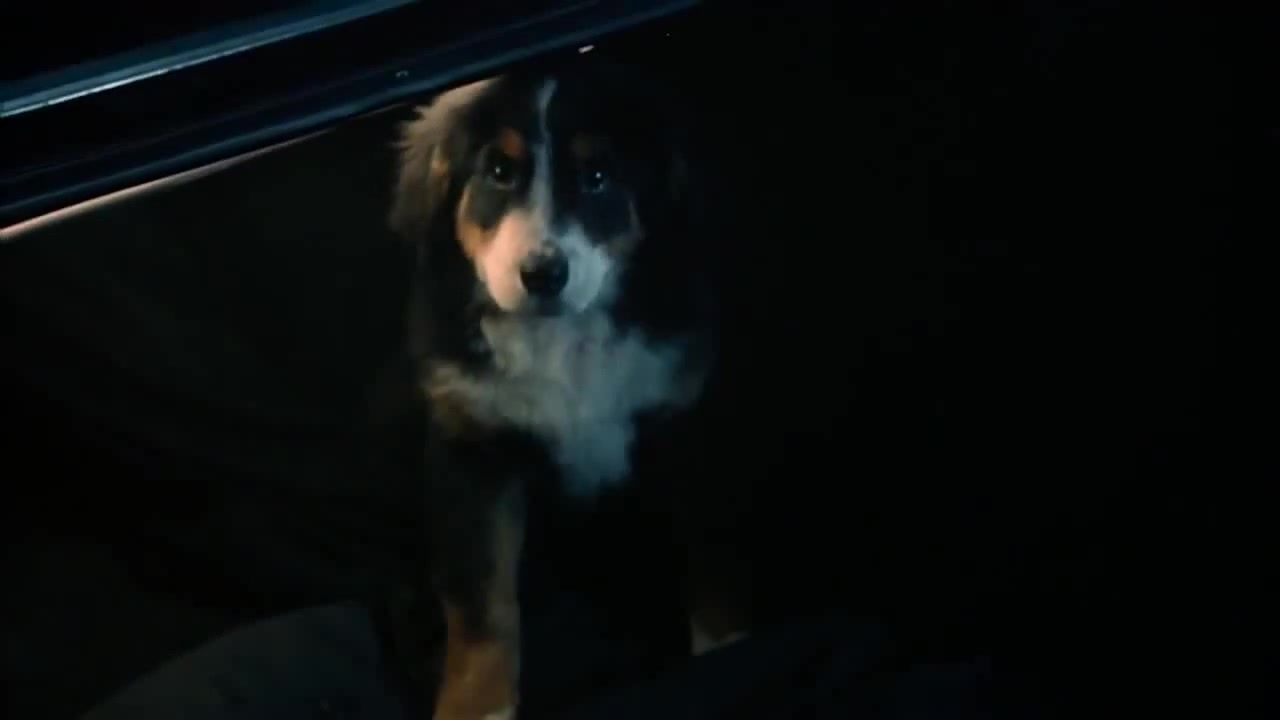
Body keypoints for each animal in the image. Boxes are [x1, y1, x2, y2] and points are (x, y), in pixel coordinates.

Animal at [386, 60, 747, 720]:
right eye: (499, 172)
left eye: (598, 177)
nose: (544, 274)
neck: (562, 338)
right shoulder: (473, 452)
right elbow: (483, 603)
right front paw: (477, 706)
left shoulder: (689, 424)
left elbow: (712, 556)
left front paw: (726, 647)